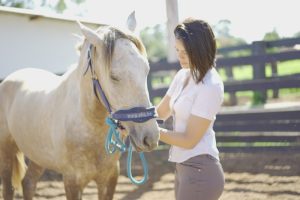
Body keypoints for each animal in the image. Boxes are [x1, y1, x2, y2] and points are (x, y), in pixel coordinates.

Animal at [0, 13, 159, 199]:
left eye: (146, 69)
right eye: (113, 76)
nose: (150, 137)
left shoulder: (109, 178)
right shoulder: (72, 181)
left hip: (38, 155)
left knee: (28, 183)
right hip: (6, 152)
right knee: (9, 188)